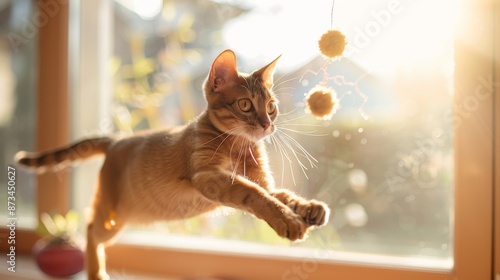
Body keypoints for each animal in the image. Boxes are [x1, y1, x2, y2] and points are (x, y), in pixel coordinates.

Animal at [16, 50, 332, 280]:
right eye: (245, 105)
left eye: (271, 106)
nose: (267, 125)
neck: (239, 147)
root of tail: (116, 140)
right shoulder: (208, 176)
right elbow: (254, 194)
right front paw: (287, 220)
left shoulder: (263, 182)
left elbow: (280, 195)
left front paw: (307, 207)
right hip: (113, 214)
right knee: (91, 228)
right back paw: (96, 273)